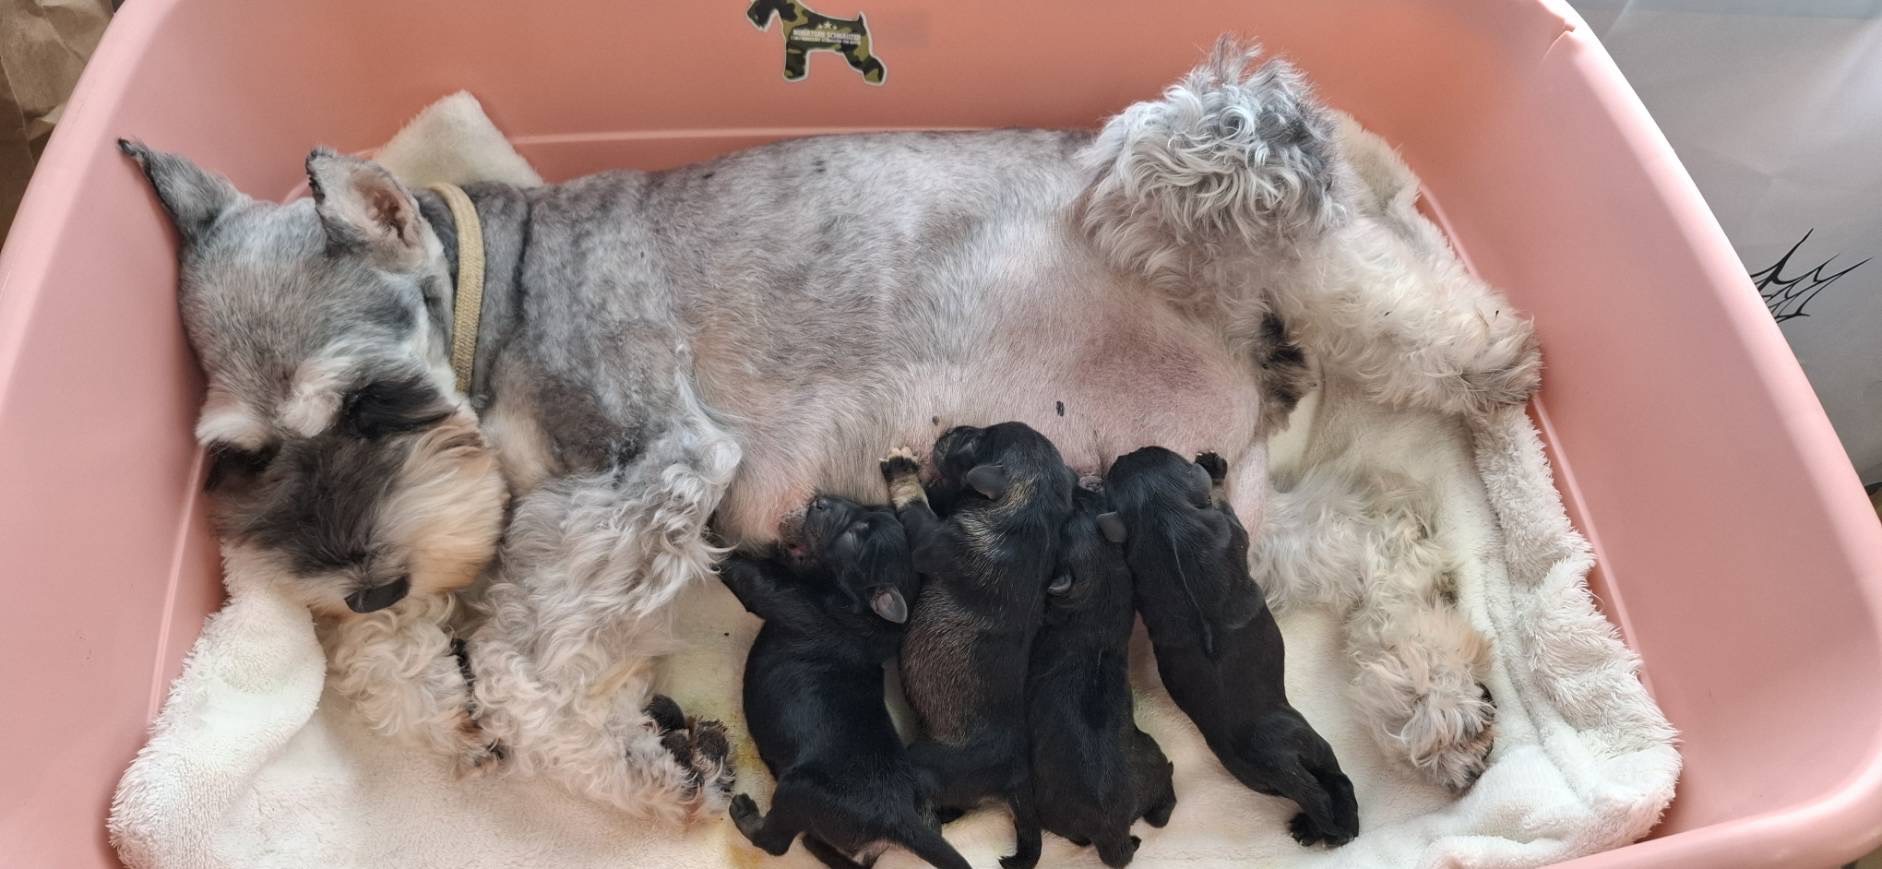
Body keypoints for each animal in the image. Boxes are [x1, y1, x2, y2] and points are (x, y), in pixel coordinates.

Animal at [720, 494, 969, 869]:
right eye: (869, 509)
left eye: (855, 536)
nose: (820, 501)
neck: (870, 617)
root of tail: (897, 818)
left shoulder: (791, 603)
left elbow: (752, 576)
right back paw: (814, 846)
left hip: (799, 789)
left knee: (775, 843)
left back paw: (747, 817)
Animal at [747, 0, 886, 84]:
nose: (749, 13)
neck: (792, 14)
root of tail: (860, 22)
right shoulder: (799, 49)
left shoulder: (793, 47)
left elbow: (792, 63)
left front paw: (789, 76)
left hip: (856, 53)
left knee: (872, 63)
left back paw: (874, 80)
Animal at [879, 422, 1076, 869]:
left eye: (973, 444)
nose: (953, 429)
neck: (1031, 515)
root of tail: (1016, 778)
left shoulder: (932, 541)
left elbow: (915, 507)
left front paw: (904, 472)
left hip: (925, 761)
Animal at [1104, 447, 1359, 846]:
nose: (1130, 451)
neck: (1165, 521)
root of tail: (1279, 764)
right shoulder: (1229, 528)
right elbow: (1228, 511)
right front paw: (1213, 467)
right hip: (1310, 742)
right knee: (1336, 781)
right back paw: (1342, 825)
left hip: (1257, 779)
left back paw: (1309, 827)